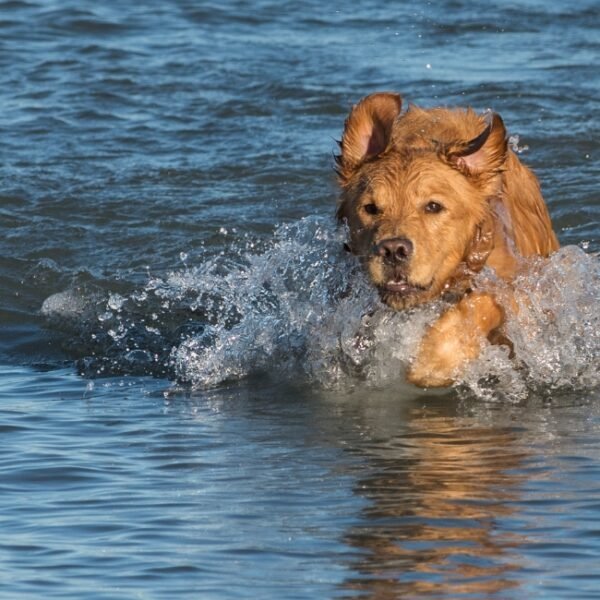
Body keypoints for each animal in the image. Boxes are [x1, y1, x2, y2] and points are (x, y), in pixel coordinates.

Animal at [336, 91, 560, 386]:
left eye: (433, 206)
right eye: (371, 208)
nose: (393, 250)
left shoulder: (518, 286)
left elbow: (480, 304)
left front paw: (432, 363)